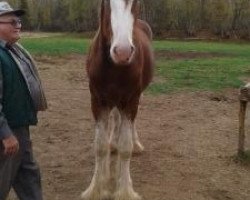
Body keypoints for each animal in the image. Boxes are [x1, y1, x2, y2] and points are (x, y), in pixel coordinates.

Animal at [81, 0, 153, 200]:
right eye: (106, 2)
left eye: (135, 3)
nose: (122, 52)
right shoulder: (97, 101)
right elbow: (100, 146)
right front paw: (96, 188)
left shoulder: (131, 100)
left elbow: (125, 148)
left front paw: (124, 191)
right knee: (115, 119)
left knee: (130, 123)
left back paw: (136, 144)